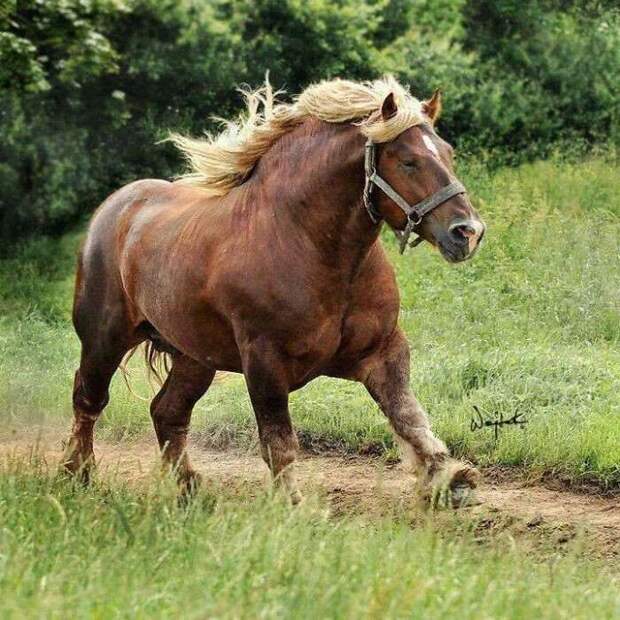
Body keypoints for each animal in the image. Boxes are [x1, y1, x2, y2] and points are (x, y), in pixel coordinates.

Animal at [65, 75, 486, 506]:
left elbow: (408, 416)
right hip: (105, 338)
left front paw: (449, 478)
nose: (467, 232)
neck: (311, 245)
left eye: (448, 153)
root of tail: (114, 208)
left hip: (194, 356)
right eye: (408, 161)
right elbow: (278, 440)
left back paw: (190, 489)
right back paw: (78, 475)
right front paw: (292, 505)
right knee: (88, 399)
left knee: (167, 411)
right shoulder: (264, 361)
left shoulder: (383, 350)